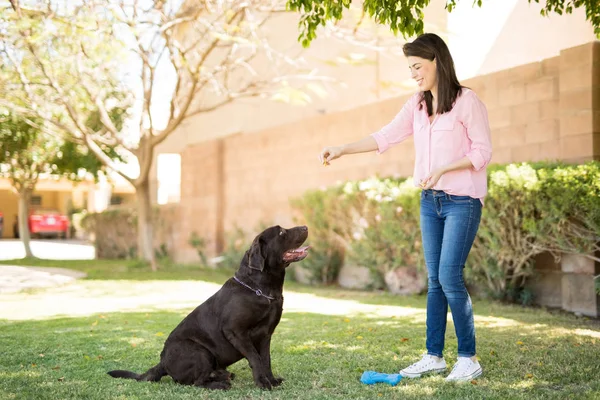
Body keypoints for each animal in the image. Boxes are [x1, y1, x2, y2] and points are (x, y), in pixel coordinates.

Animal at [108, 225, 312, 390]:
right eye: (281, 232)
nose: (305, 226)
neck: (259, 288)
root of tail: (162, 363)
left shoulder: (266, 335)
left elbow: (266, 359)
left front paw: (271, 380)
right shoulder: (236, 331)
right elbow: (255, 358)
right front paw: (262, 383)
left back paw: (223, 376)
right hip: (200, 351)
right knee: (196, 382)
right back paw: (220, 384)